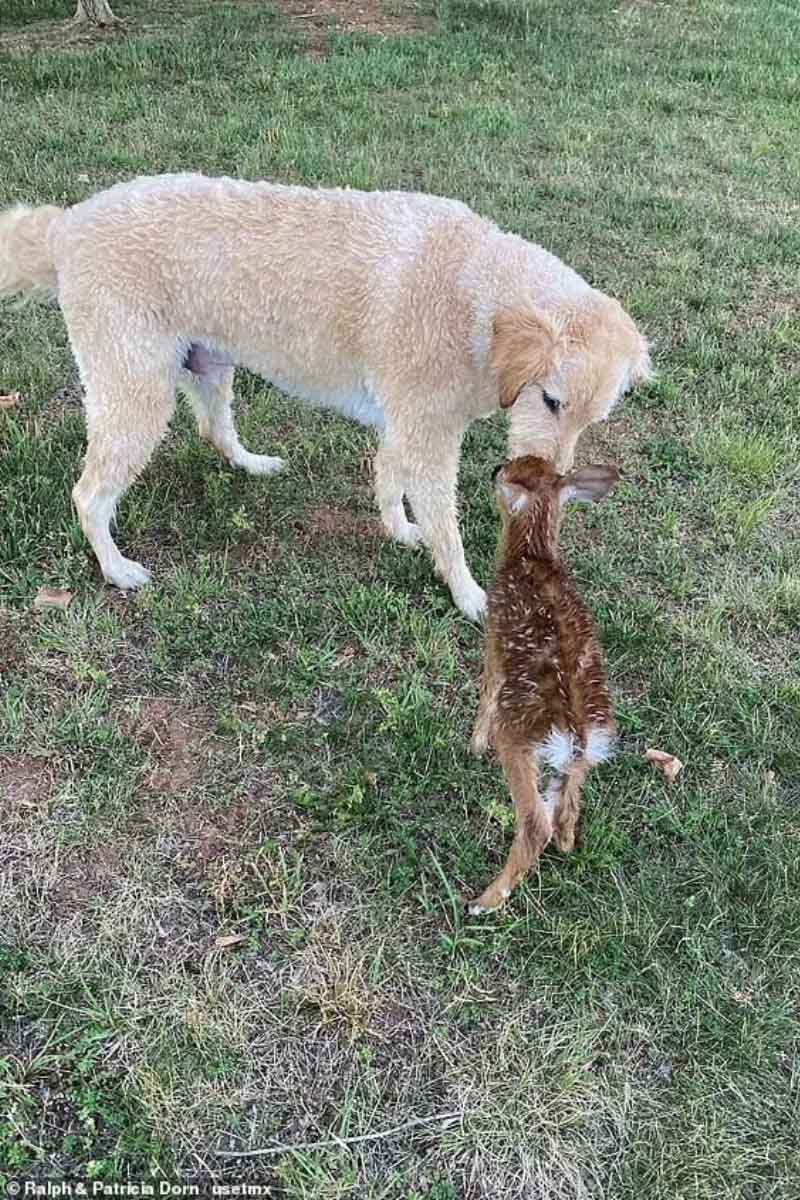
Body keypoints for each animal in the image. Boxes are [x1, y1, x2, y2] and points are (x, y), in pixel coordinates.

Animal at [0, 175, 652, 619]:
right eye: (550, 402)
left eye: (592, 419)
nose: (554, 484)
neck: (475, 292)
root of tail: (67, 225)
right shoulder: (428, 438)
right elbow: (446, 528)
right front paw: (468, 593)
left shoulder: (404, 427)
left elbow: (389, 481)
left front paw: (399, 531)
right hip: (136, 399)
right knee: (88, 496)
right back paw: (115, 569)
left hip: (208, 366)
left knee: (215, 430)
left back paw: (251, 463)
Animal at [470, 456, 618, 907]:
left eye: (510, 473)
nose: (495, 467)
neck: (532, 554)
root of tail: (576, 734)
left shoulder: (494, 640)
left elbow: (486, 692)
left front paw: (473, 745)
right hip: (579, 759)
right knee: (567, 811)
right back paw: (567, 845)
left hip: (518, 739)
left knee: (537, 823)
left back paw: (483, 902)